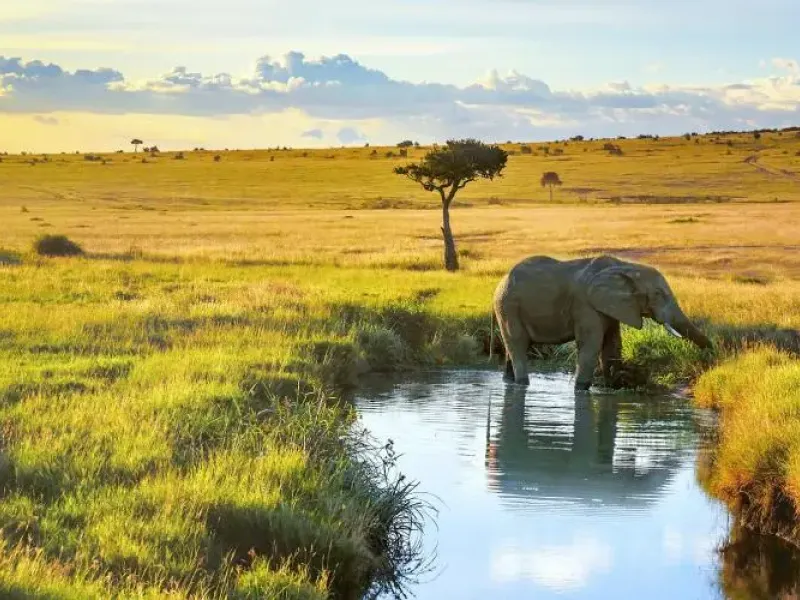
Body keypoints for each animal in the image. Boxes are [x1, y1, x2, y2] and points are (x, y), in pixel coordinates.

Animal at [491, 254, 713, 391]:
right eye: (659, 295)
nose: (712, 355)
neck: (626, 266)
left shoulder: (613, 306)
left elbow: (612, 345)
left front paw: (613, 385)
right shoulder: (585, 305)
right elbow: (591, 345)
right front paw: (581, 389)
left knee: (513, 347)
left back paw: (509, 382)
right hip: (508, 306)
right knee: (518, 344)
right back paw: (522, 384)